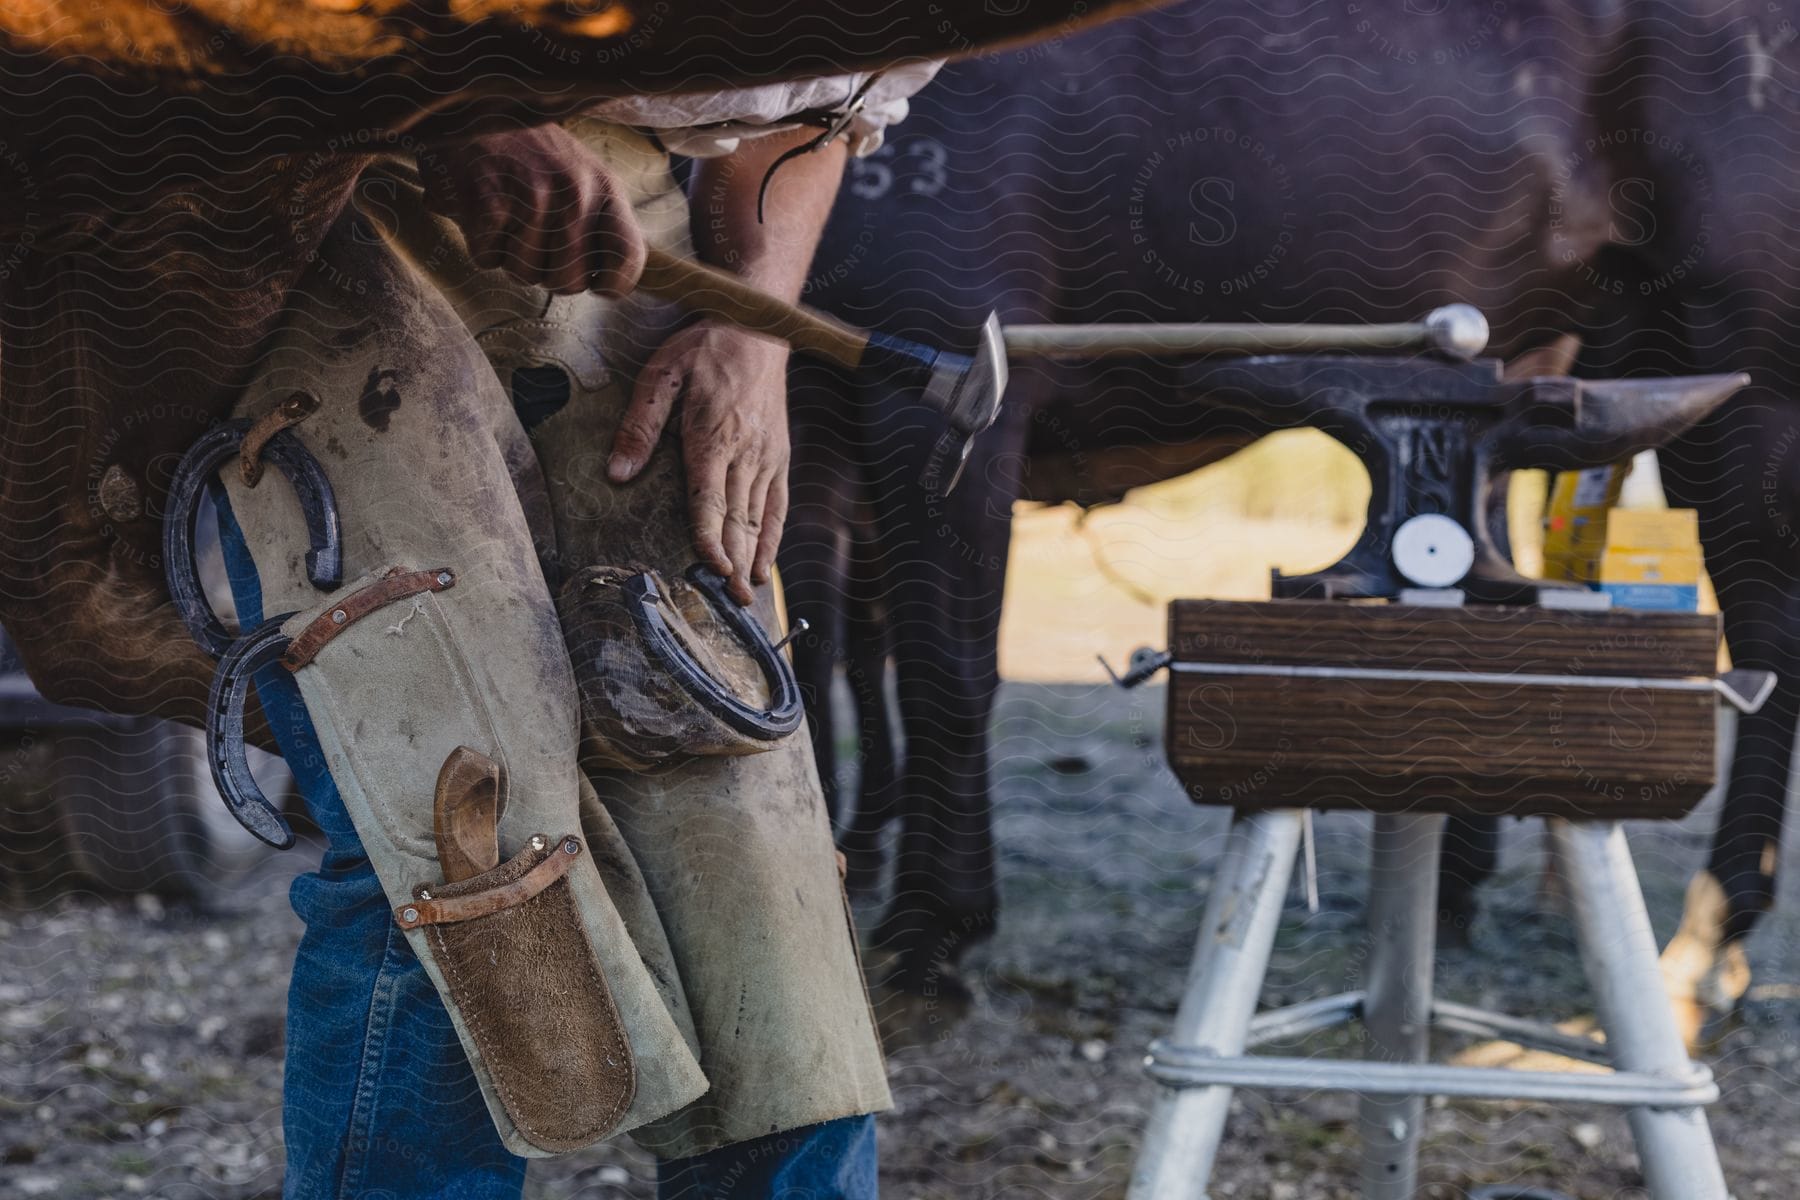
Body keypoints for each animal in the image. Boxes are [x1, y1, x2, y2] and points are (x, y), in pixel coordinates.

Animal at [784, 0, 1800, 1036]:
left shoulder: (943, 389)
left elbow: (940, 672)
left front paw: (933, 931)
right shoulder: (798, 401)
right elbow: (812, 650)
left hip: (1739, 374)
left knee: (1769, 632)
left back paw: (1708, 934)